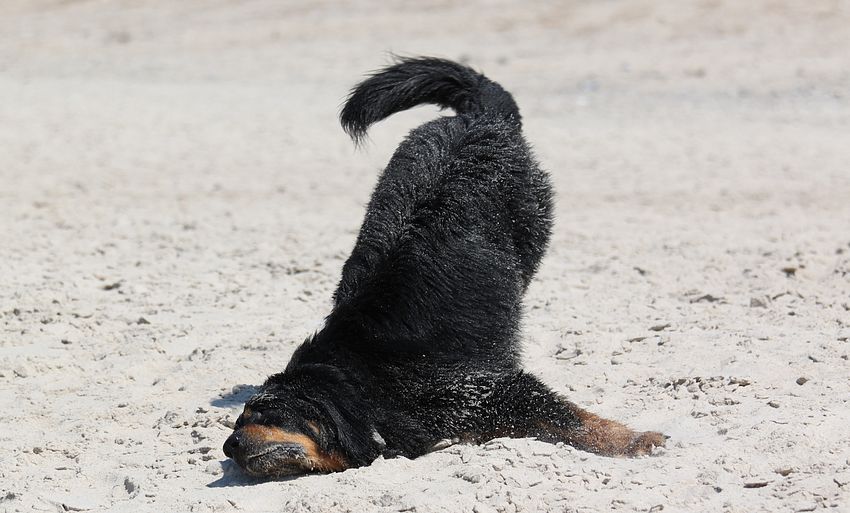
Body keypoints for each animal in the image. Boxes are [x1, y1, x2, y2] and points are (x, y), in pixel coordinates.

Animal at [222, 57, 666, 477]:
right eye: (237, 421)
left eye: (264, 412)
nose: (229, 446)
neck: (367, 381)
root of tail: (479, 117)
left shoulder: (489, 388)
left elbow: (574, 419)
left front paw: (633, 440)